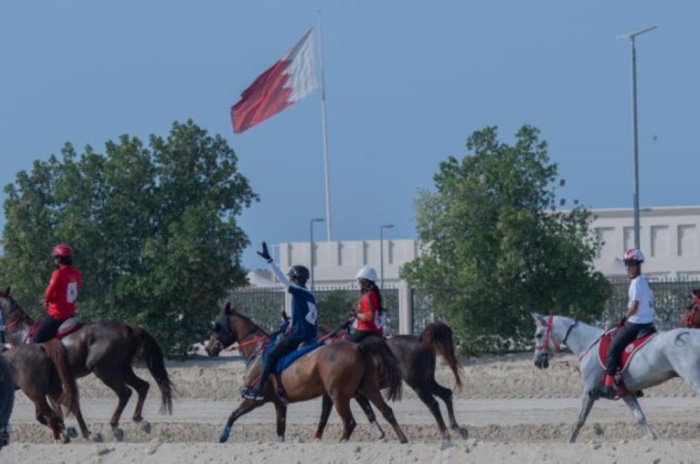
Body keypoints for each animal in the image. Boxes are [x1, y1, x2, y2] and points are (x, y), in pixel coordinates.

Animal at [0, 284, 174, 440]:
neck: (21, 333)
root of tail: (129, 328)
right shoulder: (50, 386)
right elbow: (55, 410)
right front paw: (69, 430)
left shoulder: (42, 388)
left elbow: (47, 413)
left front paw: (68, 431)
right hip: (123, 369)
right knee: (142, 386)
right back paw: (139, 421)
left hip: (104, 371)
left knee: (125, 392)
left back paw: (115, 426)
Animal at [204, 302, 410, 444]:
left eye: (216, 326)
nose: (208, 348)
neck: (258, 350)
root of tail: (358, 346)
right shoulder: (280, 404)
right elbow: (280, 431)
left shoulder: (255, 399)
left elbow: (233, 414)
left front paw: (222, 437)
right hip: (366, 388)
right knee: (386, 411)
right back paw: (402, 439)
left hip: (339, 395)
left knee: (350, 422)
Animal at [314, 320, 468, 444]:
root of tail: (421, 339)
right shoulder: (359, 393)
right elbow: (369, 412)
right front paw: (380, 434)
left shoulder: (333, 394)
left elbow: (324, 415)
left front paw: (317, 437)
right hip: (428, 381)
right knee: (446, 394)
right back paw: (456, 428)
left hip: (418, 384)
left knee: (433, 404)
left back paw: (445, 434)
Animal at [532, 312, 700, 442]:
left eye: (538, 335)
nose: (537, 361)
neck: (588, 344)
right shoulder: (625, 392)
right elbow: (639, 416)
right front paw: (653, 438)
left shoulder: (588, 391)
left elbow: (580, 418)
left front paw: (570, 442)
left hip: (694, 380)